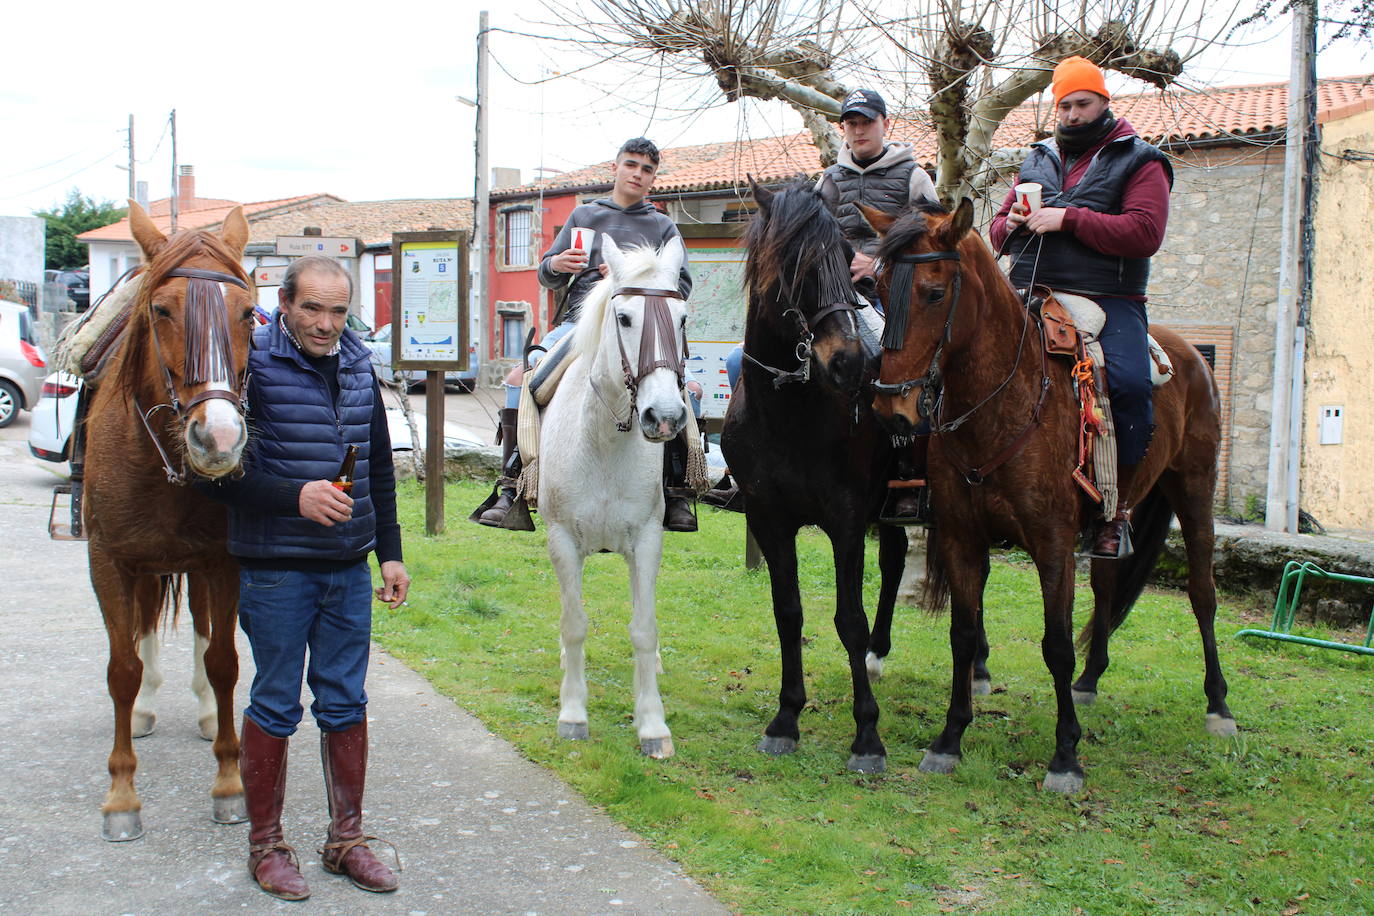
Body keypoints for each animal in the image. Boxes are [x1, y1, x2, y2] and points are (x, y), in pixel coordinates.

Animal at [84, 201, 256, 840]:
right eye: (161, 310)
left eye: (249, 314)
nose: (220, 439)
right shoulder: (109, 562)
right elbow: (123, 668)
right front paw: (121, 795)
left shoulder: (222, 562)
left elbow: (224, 662)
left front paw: (229, 784)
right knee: (140, 631)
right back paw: (145, 710)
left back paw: (205, 712)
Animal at [533, 238, 687, 758]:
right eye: (623, 318)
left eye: (682, 319)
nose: (664, 416)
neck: (603, 441)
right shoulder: (562, 540)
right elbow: (574, 623)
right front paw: (573, 715)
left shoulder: (647, 540)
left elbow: (644, 628)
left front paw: (653, 725)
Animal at [719, 181, 912, 774]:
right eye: (793, 264)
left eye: (848, 258)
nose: (849, 363)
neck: (791, 414)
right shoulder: (770, 520)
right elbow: (788, 613)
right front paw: (786, 719)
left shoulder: (846, 520)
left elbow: (847, 618)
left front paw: (867, 735)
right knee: (895, 560)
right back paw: (878, 653)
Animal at [873, 200, 1242, 796]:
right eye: (879, 287)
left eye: (933, 291)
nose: (892, 410)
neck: (1006, 400)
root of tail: (1190, 354)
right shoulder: (961, 537)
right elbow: (962, 633)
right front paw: (949, 740)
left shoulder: (1052, 545)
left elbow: (1057, 644)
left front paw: (1066, 756)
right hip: (1117, 513)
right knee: (1110, 582)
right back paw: (1091, 681)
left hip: (1195, 489)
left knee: (1202, 593)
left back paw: (1219, 706)